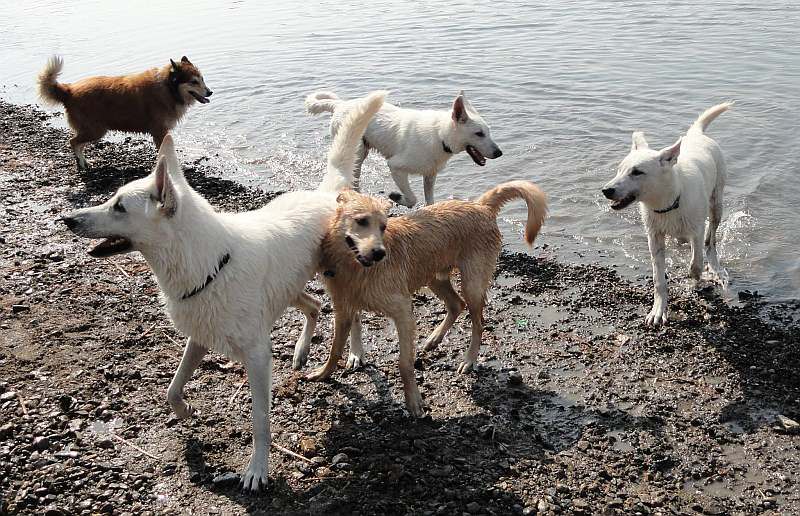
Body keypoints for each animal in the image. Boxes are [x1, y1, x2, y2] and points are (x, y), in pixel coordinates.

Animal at [36, 55, 212, 170]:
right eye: (193, 81)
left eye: (202, 79)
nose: (210, 92)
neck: (169, 88)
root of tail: (69, 90)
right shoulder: (159, 131)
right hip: (95, 130)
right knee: (73, 142)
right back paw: (81, 163)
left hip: (91, 130)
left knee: (77, 143)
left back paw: (82, 162)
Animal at [59, 90, 384, 490]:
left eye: (119, 206)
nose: (68, 219)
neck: (207, 262)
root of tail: (326, 193)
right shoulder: (199, 337)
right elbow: (172, 387)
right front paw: (184, 410)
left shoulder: (257, 357)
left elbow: (260, 422)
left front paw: (257, 470)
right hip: (288, 286)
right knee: (313, 306)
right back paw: (301, 351)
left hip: (334, 273)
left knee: (351, 315)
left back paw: (354, 353)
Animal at [304, 90, 504, 208]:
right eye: (479, 134)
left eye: (488, 132)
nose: (499, 153)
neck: (440, 136)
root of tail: (341, 104)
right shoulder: (396, 167)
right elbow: (413, 198)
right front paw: (397, 197)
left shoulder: (430, 175)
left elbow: (429, 201)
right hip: (358, 153)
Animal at [304, 181, 548, 416]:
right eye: (361, 221)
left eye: (383, 226)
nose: (380, 253)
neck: (354, 269)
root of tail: (480, 206)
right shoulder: (343, 311)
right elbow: (335, 349)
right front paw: (322, 373)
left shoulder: (403, 310)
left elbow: (404, 363)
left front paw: (413, 402)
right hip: (434, 277)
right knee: (456, 304)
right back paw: (434, 339)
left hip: (472, 283)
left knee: (478, 323)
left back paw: (468, 360)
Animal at [604, 101, 736, 326]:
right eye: (619, 169)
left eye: (637, 172)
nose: (606, 190)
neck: (668, 203)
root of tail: (696, 134)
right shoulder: (654, 237)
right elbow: (659, 280)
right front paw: (658, 310)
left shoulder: (697, 230)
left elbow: (695, 263)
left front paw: (696, 281)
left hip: (716, 203)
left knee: (711, 239)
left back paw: (714, 265)